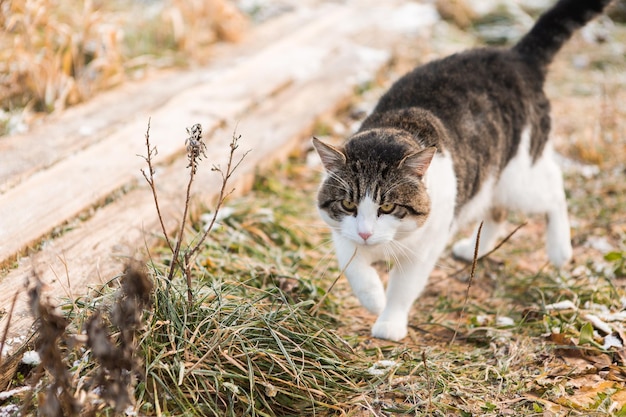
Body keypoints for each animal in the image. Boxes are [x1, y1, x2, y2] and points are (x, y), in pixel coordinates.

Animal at [312, 0, 608, 340]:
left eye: (387, 206)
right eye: (348, 204)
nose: (365, 233)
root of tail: (515, 58)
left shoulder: (424, 250)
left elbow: (403, 287)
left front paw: (390, 321)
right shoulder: (341, 232)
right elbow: (354, 266)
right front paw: (373, 297)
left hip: (518, 178)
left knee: (553, 189)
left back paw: (560, 249)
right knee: (497, 210)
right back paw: (474, 249)